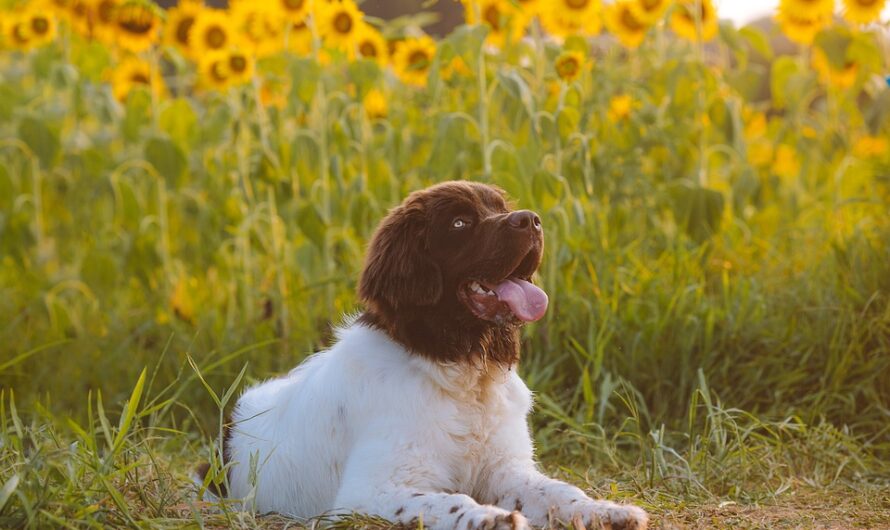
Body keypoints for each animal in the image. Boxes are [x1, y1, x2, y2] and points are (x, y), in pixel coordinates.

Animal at [198, 182, 648, 528]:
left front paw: (606, 510)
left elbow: (558, 490)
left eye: (501, 209)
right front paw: (490, 518)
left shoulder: (506, 469)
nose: (531, 220)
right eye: (460, 223)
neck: (461, 370)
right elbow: (448, 502)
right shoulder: (370, 490)